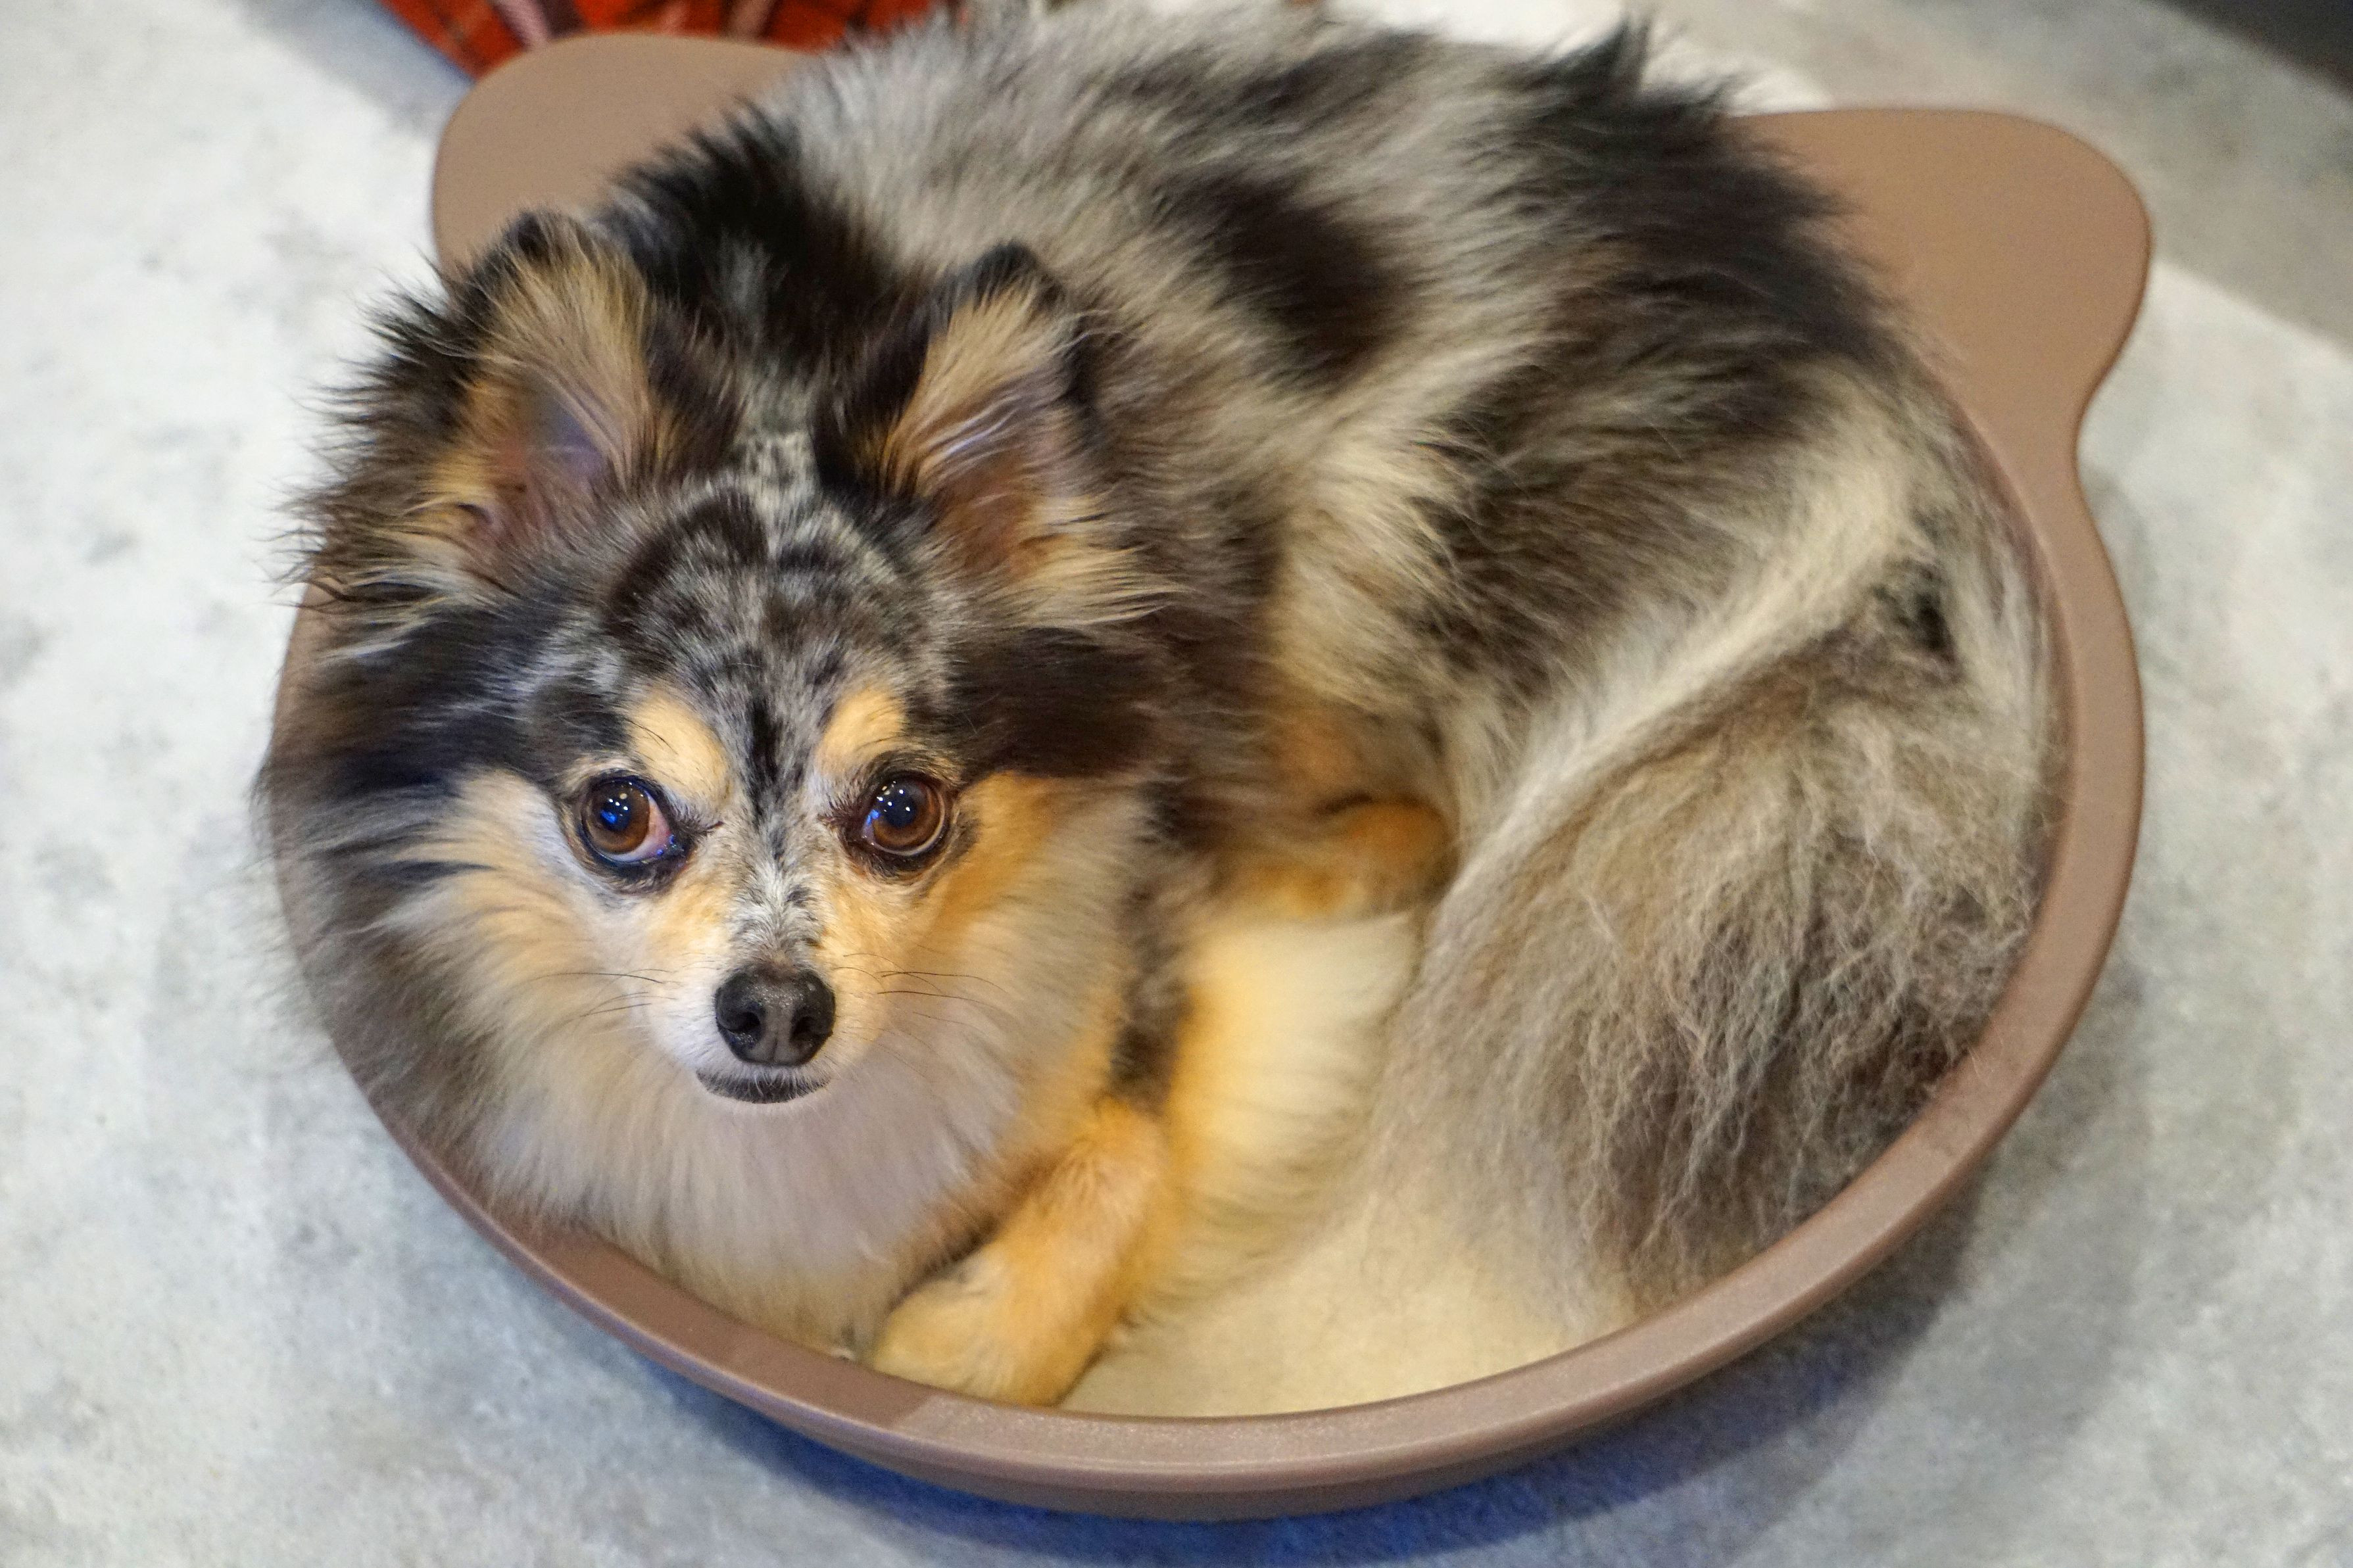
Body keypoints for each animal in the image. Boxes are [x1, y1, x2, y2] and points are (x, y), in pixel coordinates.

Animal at [262, 1, 2052, 1406]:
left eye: (903, 811)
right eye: (617, 815)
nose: (777, 1009)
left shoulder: (1141, 909)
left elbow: (1123, 1148)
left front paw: (964, 1335)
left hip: (1341, 550)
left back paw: (1362, 861)